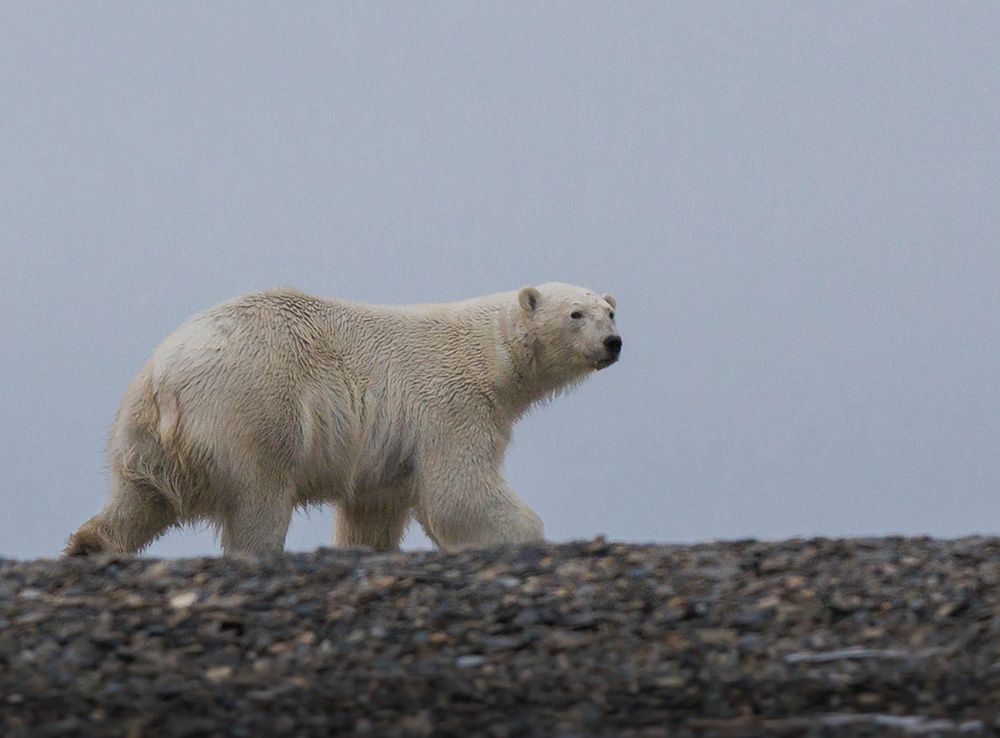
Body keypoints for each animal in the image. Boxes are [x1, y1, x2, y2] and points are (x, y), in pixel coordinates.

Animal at [66, 282, 620, 552]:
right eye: (576, 314)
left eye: (611, 311)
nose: (613, 343)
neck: (490, 353)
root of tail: (168, 375)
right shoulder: (453, 405)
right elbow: (458, 492)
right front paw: (527, 534)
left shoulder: (387, 454)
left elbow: (373, 511)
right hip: (253, 411)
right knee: (258, 500)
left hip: (142, 435)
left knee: (139, 500)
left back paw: (91, 546)